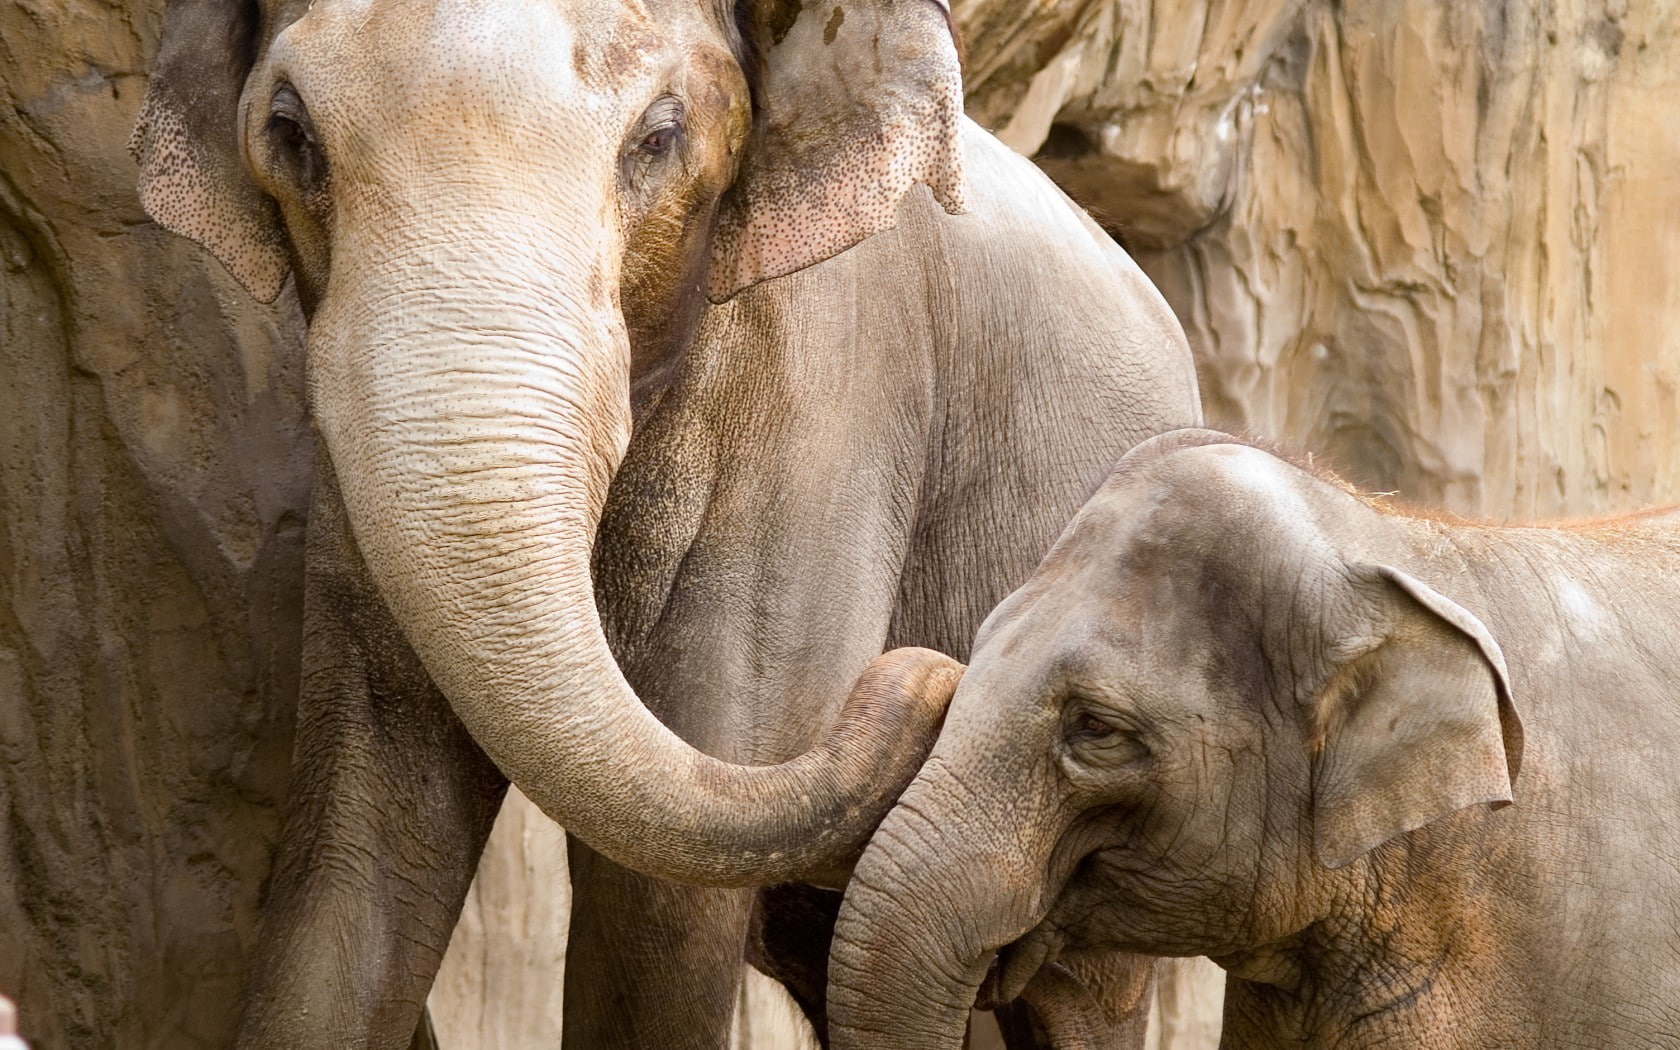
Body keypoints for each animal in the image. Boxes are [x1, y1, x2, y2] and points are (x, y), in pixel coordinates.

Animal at [129, 0, 1204, 1045]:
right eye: (290, 132)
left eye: (660, 134)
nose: (939, 676)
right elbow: (364, 834)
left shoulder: (829, 396)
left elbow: (660, 897)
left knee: (1082, 1000)